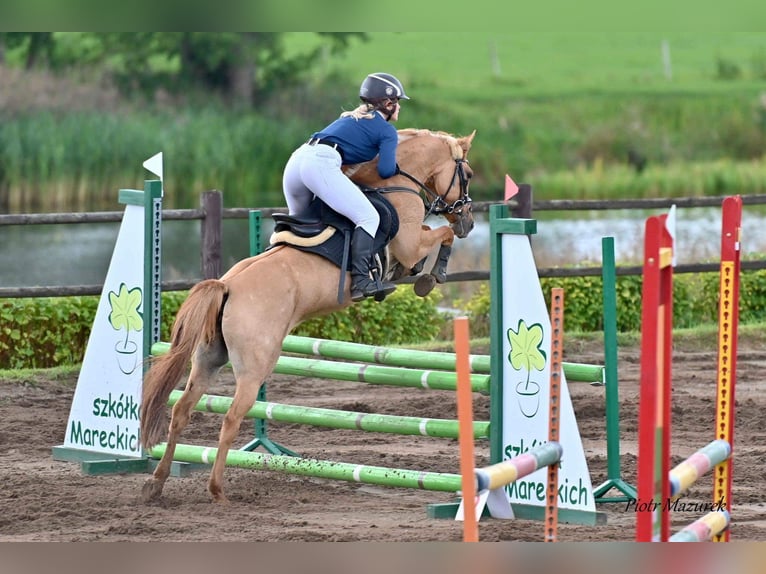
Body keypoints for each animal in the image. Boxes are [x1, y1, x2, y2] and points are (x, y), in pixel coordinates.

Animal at [141, 127, 476, 504]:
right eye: (468, 174)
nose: (468, 221)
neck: (394, 184)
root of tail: (226, 286)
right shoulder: (408, 246)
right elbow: (440, 236)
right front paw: (434, 275)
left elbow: (434, 239)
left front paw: (429, 271)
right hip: (255, 367)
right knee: (229, 419)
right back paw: (217, 490)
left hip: (208, 358)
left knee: (181, 410)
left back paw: (156, 482)